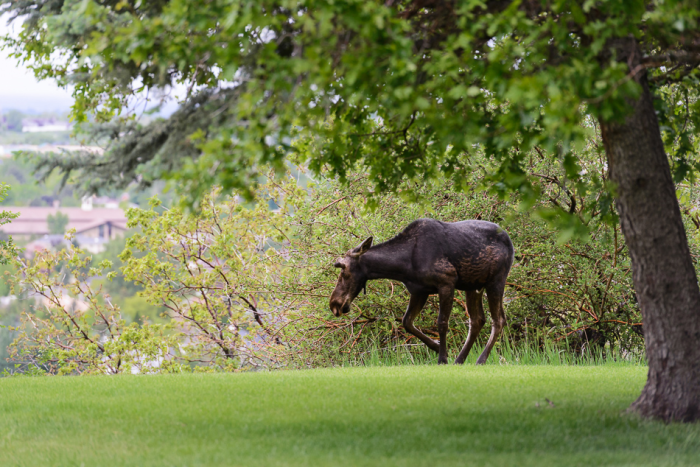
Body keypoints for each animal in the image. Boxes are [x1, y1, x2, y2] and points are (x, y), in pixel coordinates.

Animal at [329, 218, 514, 364]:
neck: (404, 265)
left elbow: (441, 322)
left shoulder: (447, 282)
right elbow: (407, 322)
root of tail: (510, 241)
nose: (334, 304)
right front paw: (437, 346)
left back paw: (480, 360)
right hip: (473, 286)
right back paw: (460, 360)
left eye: (344, 271)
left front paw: (442, 358)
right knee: (478, 320)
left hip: (496, 281)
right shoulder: (419, 291)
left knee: (498, 320)